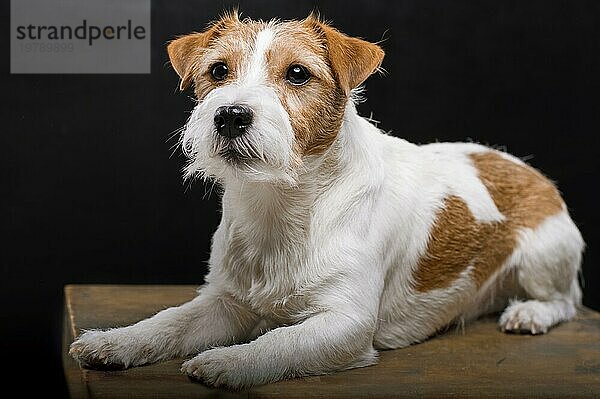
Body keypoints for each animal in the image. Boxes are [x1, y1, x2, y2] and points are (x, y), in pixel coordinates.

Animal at [68, 11, 584, 390]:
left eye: (298, 73)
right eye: (218, 71)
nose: (230, 114)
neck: (282, 203)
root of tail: (526, 167)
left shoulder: (344, 324)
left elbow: (280, 342)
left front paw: (230, 360)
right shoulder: (224, 301)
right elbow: (168, 322)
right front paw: (115, 342)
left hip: (544, 257)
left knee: (566, 302)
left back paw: (530, 313)